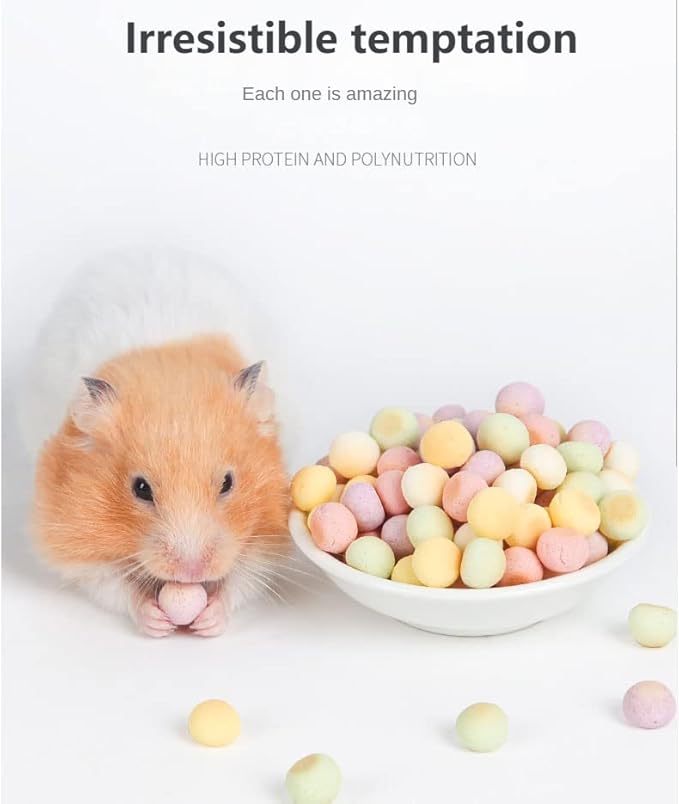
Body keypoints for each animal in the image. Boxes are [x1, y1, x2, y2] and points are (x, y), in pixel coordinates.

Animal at [21, 250, 291, 637]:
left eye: (228, 483)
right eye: (141, 489)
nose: (191, 572)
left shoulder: (269, 534)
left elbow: (246, 577)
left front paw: (209, 620)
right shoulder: (71, 539)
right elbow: (111, 584)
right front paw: (156, 620)